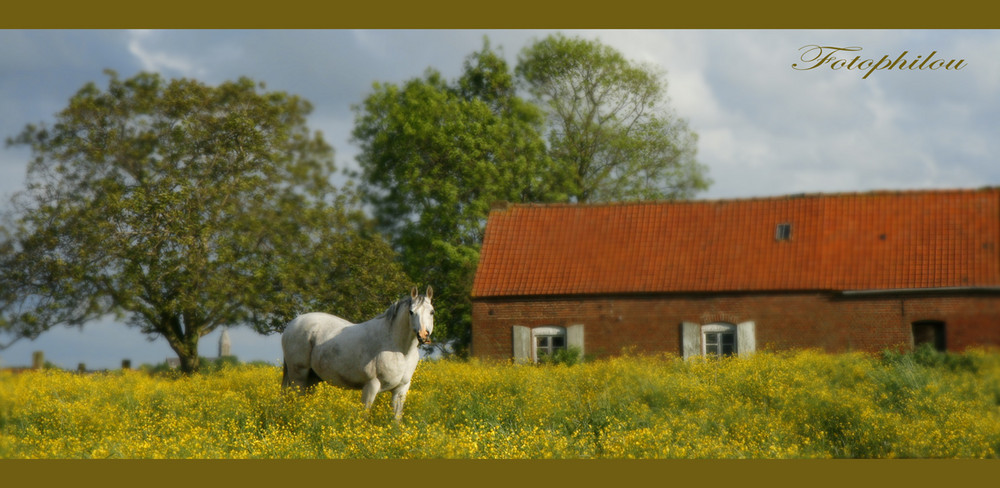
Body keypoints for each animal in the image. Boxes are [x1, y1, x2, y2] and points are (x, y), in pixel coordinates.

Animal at [284, 286, 436, 420]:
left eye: (432, 312)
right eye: (411, 312)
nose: (423, 335)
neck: (399, 350)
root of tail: (293, 323)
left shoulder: (401, 389)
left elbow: (397, 418)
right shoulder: (371, 386)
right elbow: (364, 415)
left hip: (313, 378)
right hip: (299, 376)